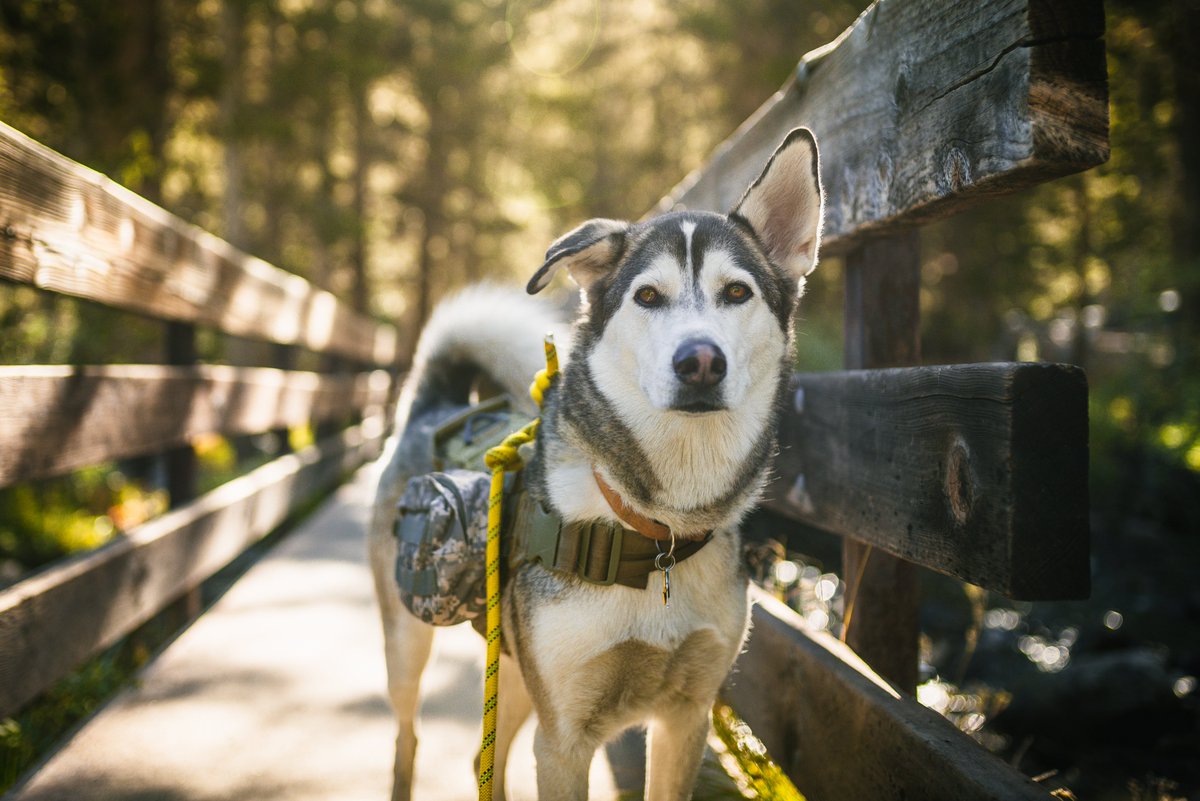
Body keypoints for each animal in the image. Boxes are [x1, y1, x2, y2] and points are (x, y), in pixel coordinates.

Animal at [367, 128, 825, 796]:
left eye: (737, 292)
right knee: (407, 737)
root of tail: (438, 406)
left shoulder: (686, 717)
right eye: (648, 296)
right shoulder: (563, 740)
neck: (657, 529)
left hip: (514, 669)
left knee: (482, 759)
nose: (700, 361)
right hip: (409, 644)